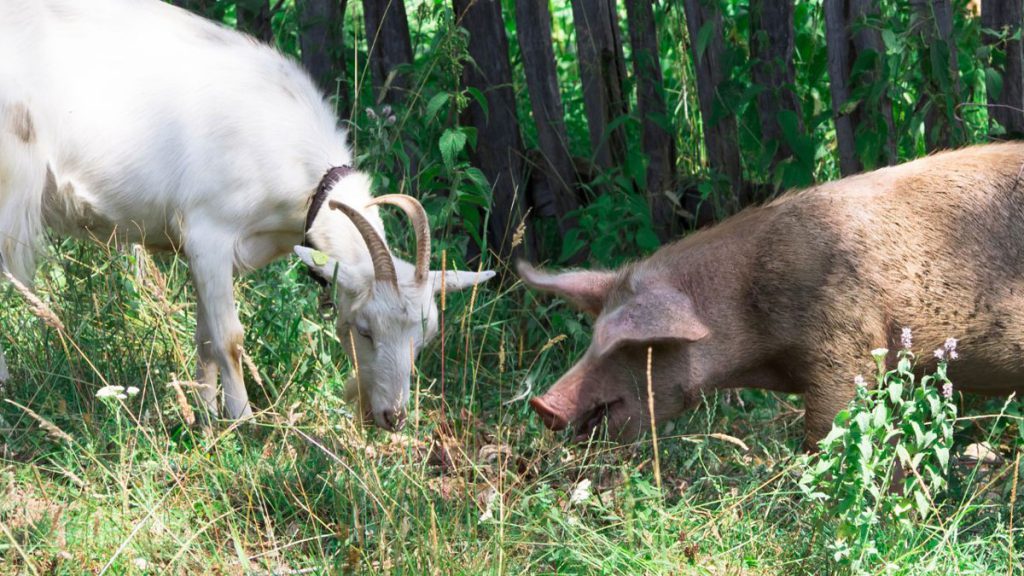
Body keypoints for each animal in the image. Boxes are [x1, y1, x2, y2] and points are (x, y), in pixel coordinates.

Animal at [0, 0, 495, 426]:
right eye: (365, 329)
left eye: (425, 337)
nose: (393, 417)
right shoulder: (209, 233)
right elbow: (229, 338)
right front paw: (242, 422)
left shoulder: (203, 253)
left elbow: (204, 339)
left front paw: (202, 418)